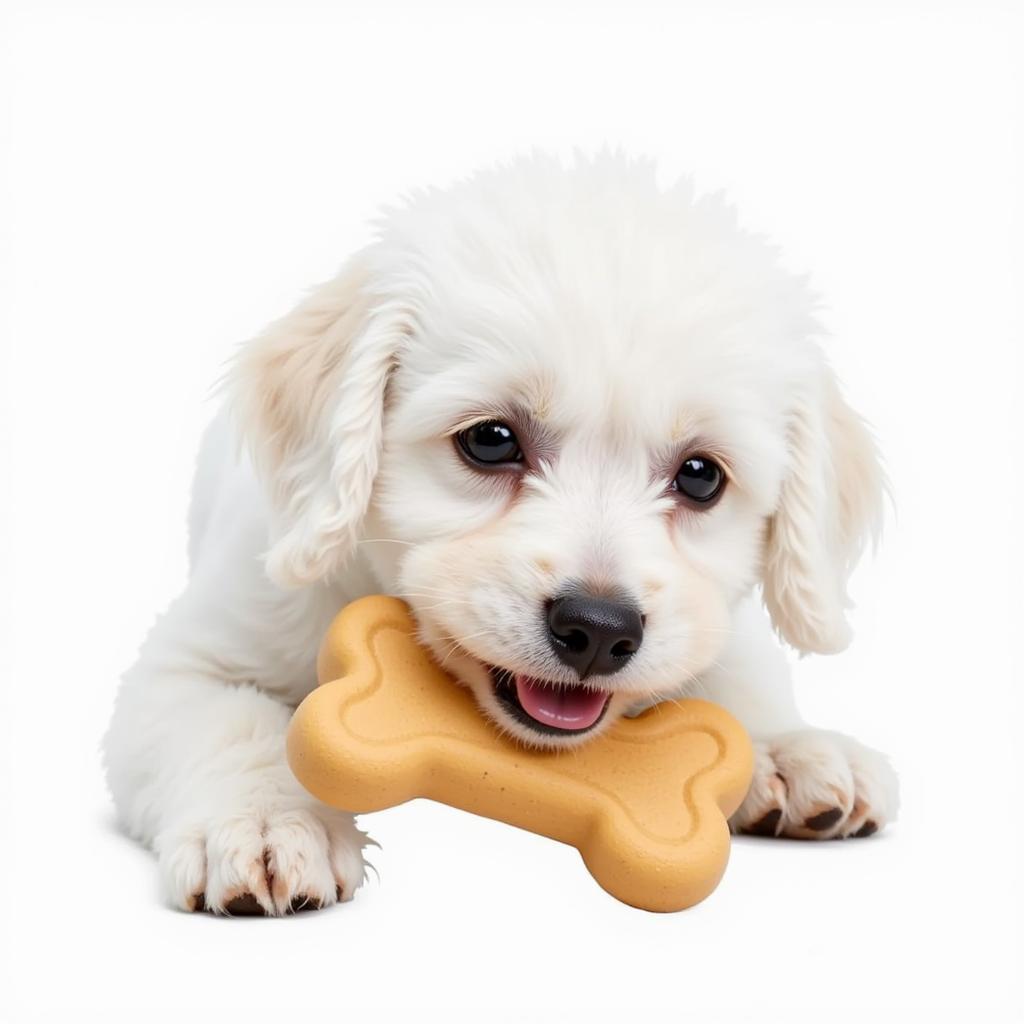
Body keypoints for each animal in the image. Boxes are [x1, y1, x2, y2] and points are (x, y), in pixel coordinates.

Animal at [101, 151, 897, 913]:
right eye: (490, 440)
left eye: (702, 476)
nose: (598, 630)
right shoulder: (191, 660)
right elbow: (230, 723)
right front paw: (268, 821)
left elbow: (738, 670)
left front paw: (787, 747)